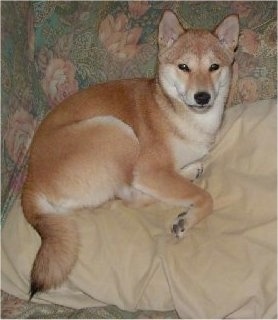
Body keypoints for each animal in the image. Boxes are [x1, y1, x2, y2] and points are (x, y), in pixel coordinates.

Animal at [21, 10, 239, 300]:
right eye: (184, 67)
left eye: (214, 67)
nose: (202, 97)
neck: (174, 110)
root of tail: (30, 180)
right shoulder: (148, 170)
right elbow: (205, 197)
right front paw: (188, 218)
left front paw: (189, 172)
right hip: (115, 131)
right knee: (129, 198)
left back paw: (190, 171)